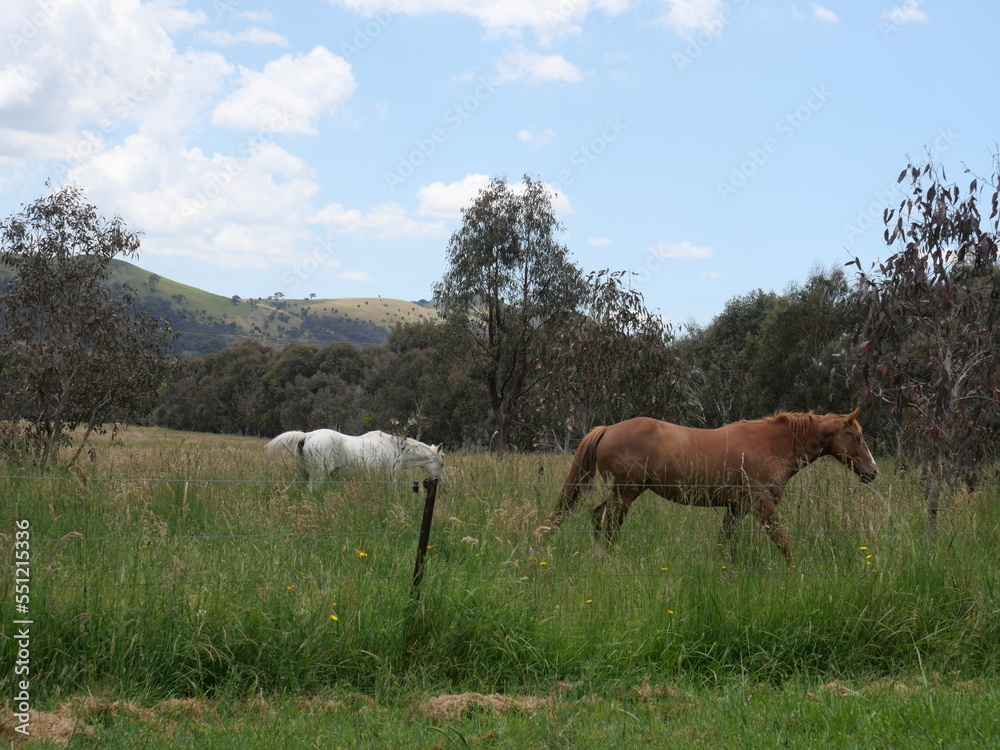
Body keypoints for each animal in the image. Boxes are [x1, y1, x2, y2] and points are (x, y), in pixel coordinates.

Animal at [266, 429, 444, 488]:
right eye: (442, 464)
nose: (440, 482)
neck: (395, 447)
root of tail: (306, 436)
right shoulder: (391, 476)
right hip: (317, 477)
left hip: (301, 474)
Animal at [538, 409, 877, 565]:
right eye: (858, 437)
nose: (872, 472)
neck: (771, 445)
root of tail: (607, 428)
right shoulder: (762, 505)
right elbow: (782, 541)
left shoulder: (737, 508)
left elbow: (723, 543)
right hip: (626, 493)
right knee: (608, 523)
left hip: (623, 493)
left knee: (598, 517)